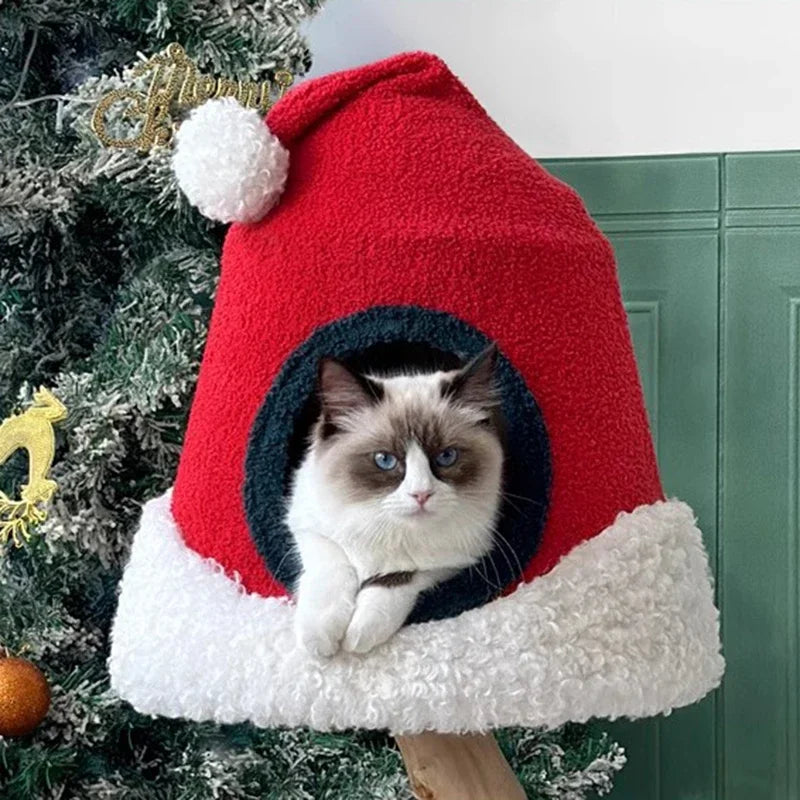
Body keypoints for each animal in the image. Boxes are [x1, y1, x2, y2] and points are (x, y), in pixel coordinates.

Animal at [284, 344, 504, 656]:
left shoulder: (449, 563)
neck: (385, 526)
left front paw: (358, 637)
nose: (421, 494)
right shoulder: (309, 526)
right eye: (385, 460)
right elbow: (333, 569)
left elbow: (394, 580)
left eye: (446, 457)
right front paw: (320, 641)